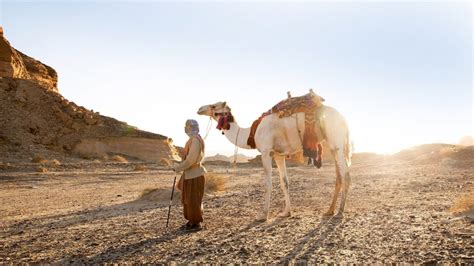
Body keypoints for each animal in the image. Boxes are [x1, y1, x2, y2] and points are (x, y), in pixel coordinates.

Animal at [197, 91, 352, 220]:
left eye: (213, 105)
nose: (199, 109)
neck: (250, 133)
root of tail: (344, 119)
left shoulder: (266, 151)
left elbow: (268, 183)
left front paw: (263, 215)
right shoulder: (278, 155)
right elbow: (285, 182)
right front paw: (286, 212)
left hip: (336, 139)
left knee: (346, 174)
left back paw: (340, 212)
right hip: (333, 145)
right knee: (338, 176)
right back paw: (329, 211)